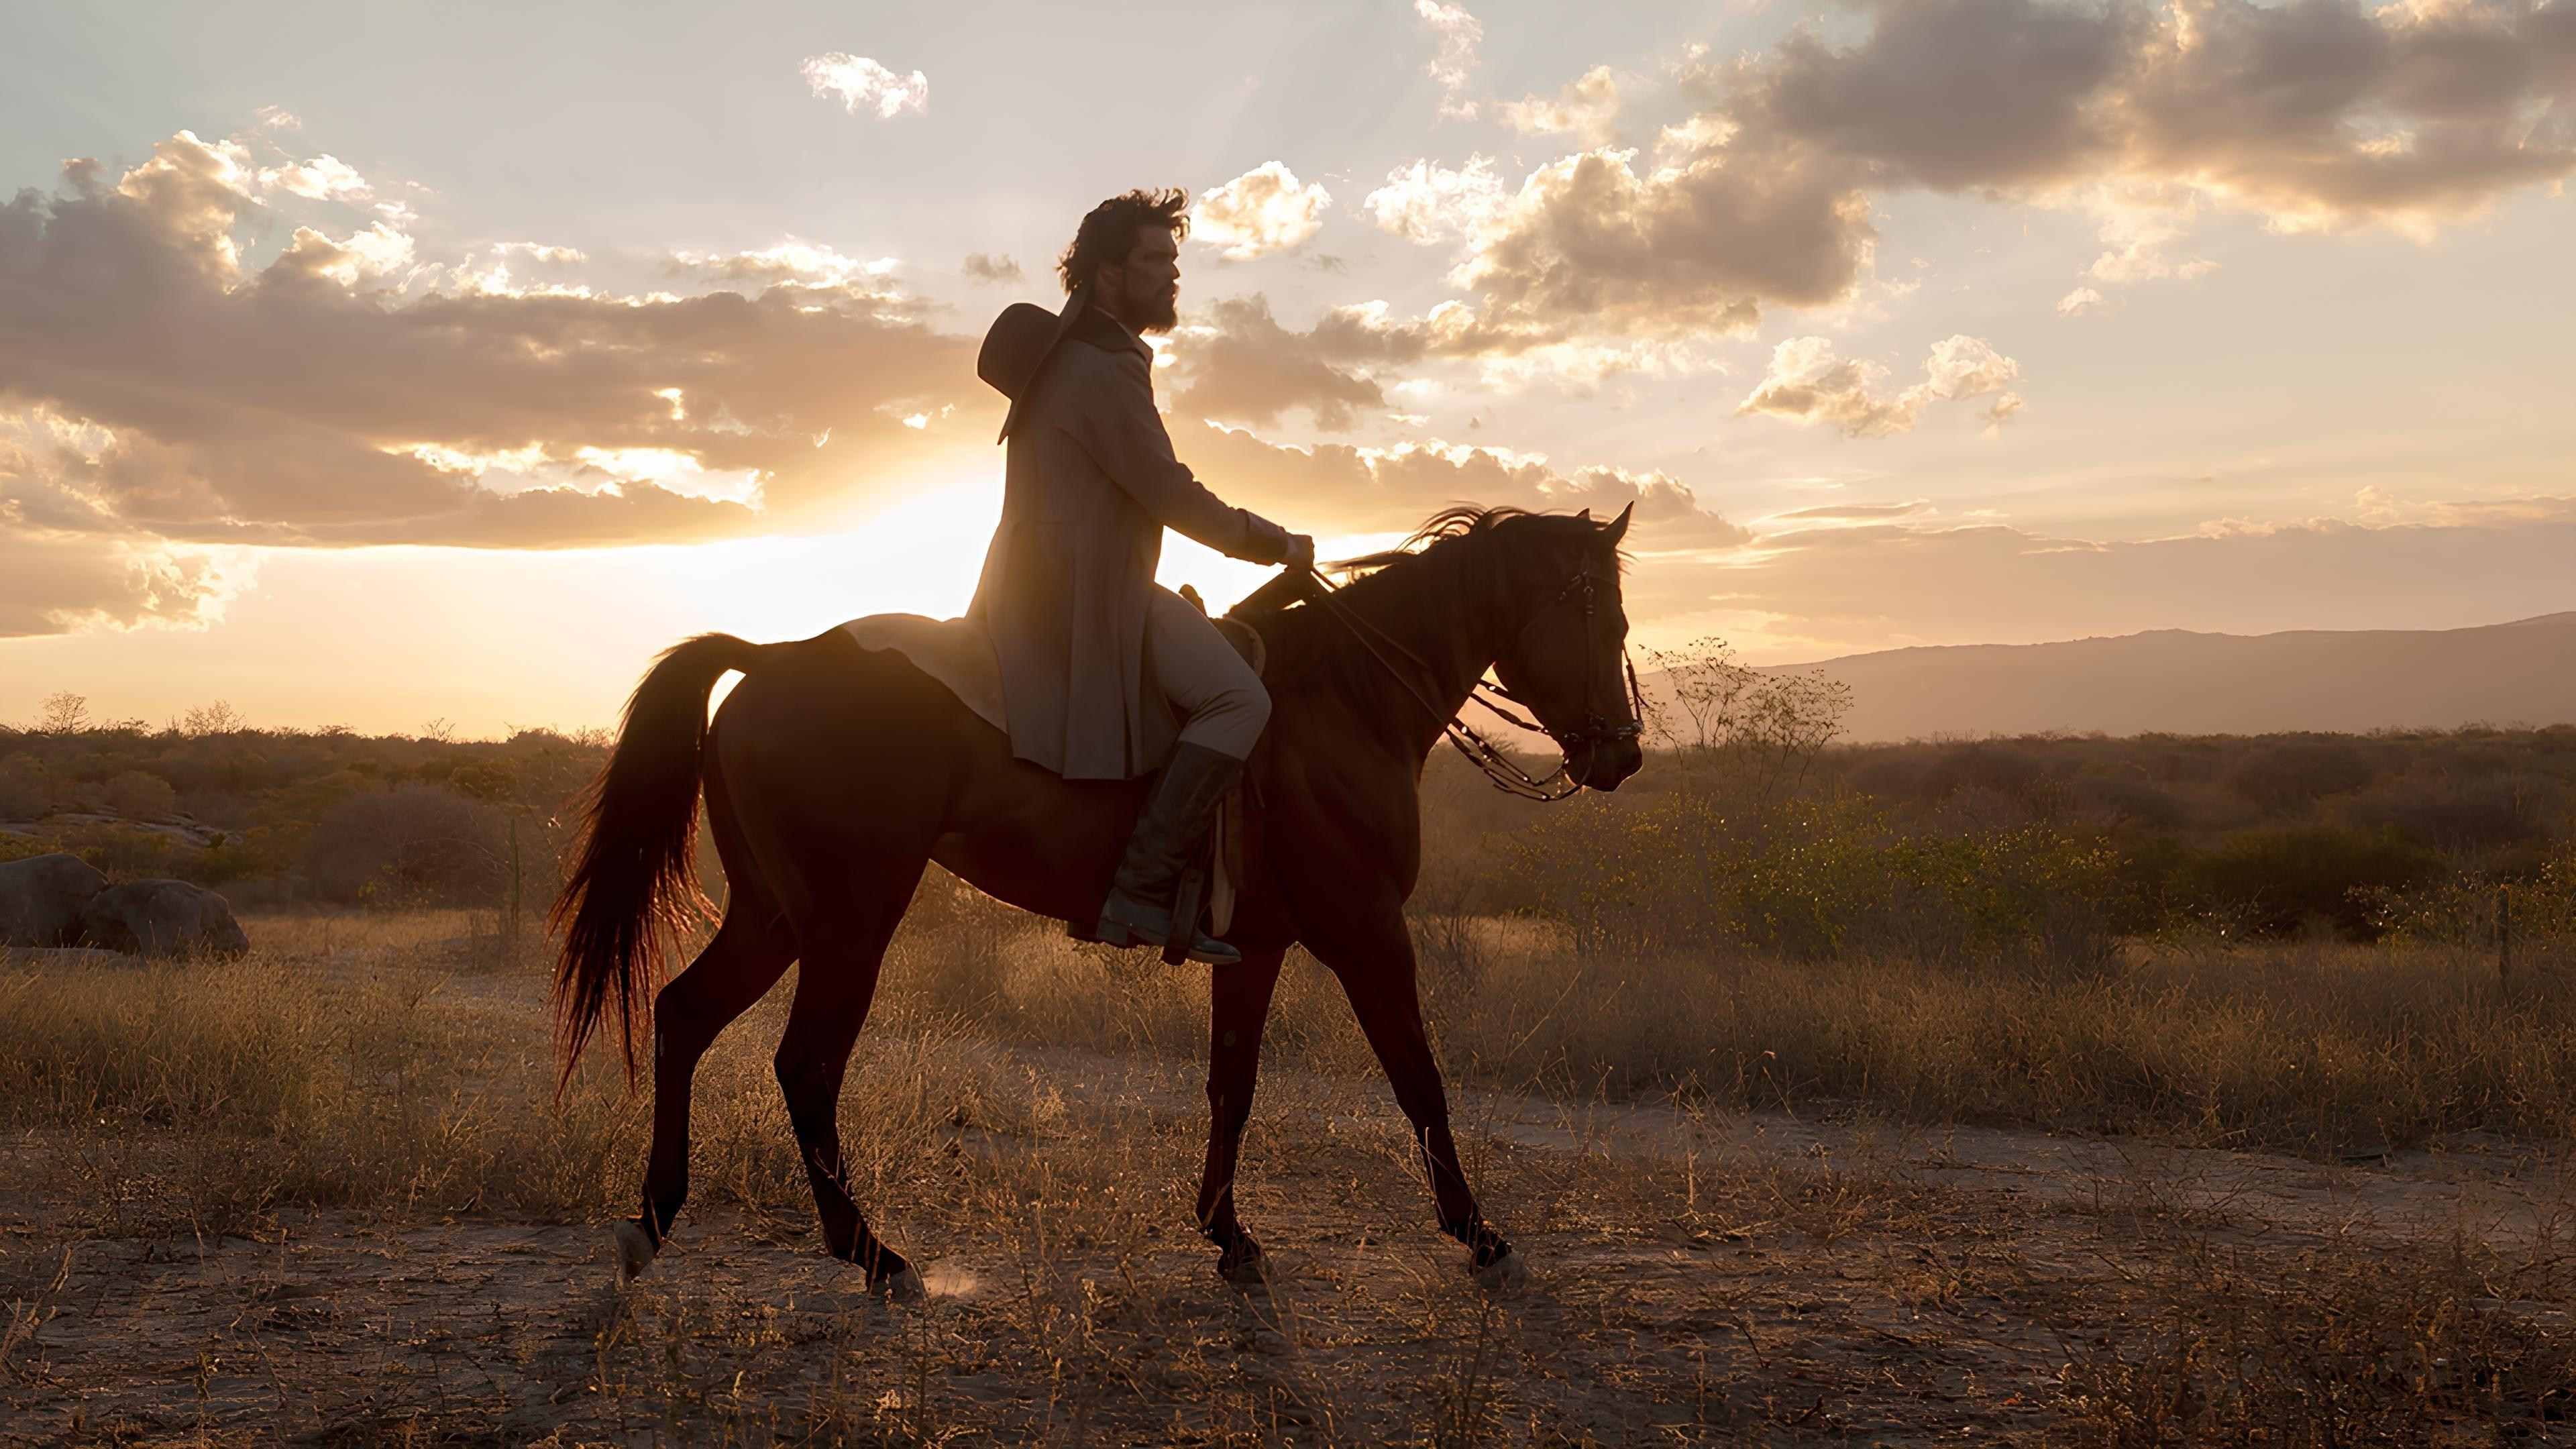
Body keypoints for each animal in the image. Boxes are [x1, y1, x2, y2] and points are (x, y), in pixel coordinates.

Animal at [551, 505, 1638, 1284]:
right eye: (1607, 619)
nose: (1622, 755)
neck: (1347, 700)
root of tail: (772, 658)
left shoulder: (1260, 946)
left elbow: (1233, 1085)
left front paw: (1229, 1236)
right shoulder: (1368, 933)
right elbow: (1419, 1081)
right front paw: (1480, 1235)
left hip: (774, 917)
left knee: (684, 1015)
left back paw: (654, 1221)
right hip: (850, 925)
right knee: (805, 1067)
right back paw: (873, 1255)